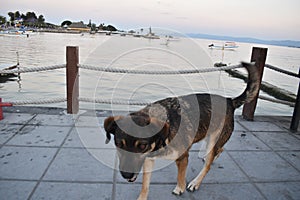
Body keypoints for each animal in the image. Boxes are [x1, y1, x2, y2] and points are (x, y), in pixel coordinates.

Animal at [104, 61, 258, 199]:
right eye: (118, 144)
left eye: (142, 146)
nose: (126, 175)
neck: (162, 137)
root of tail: (229, 101)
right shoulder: (148, 160)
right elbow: (145, 186)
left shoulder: (182, 157)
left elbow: (180, 175)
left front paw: (180, 188)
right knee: (218, 150)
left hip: (215, 139)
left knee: (209, 163)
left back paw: (196, 182)